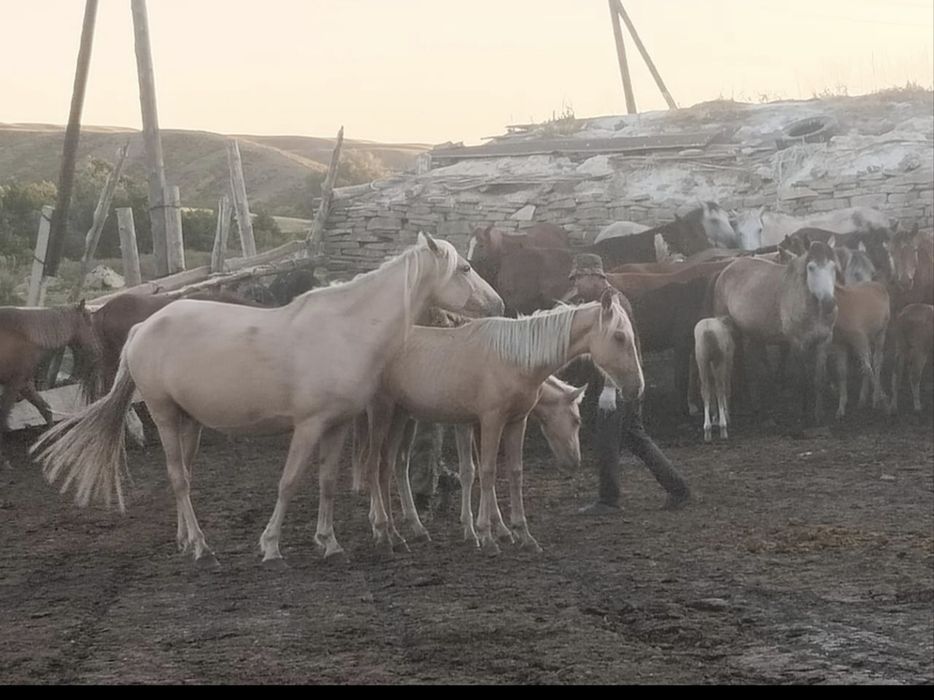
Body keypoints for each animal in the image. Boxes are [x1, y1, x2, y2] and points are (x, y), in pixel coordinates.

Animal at [0, 302, 99, 468]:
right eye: (88, 322)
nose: (95, 348)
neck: (25, 335)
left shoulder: (25, 385)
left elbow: (45, 409)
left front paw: (53, 437)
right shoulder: (14, 384)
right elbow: (3, 414)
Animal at [32, 233, 504, 565]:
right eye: (465, 268)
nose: (498, 303)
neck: (346, 329)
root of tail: (143, 328)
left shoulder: (337, 426)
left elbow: (326, 483)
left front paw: (329, 542)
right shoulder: (308, 426)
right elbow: (289, 482)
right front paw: (272, 545)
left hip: (188, 422)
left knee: (183, 475)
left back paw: (186, 540)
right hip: (164, 416)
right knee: (178, 478)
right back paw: (202, 548)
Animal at [362, 291, 643, 554]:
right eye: (619, 337)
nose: (637, 387)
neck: (514, 358)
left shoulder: (515, 421)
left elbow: (514, 472)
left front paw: (522, 534)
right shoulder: (489, 421)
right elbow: (485, 472)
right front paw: (485, 535)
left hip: (401, 415)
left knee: (390, 466)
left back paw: (398, 533)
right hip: (382, 412)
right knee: (375, 466)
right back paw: (383, 532)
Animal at [712, 240, 838, 426]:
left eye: (833, 267)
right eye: (811, 267)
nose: (829, 304)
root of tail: (726, 269)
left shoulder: (824, 342)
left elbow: (819, 380)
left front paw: (819, 415)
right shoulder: (797, 344)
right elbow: (804, 380)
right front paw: (803, 414)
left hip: (754, 335)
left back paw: (756, 402)